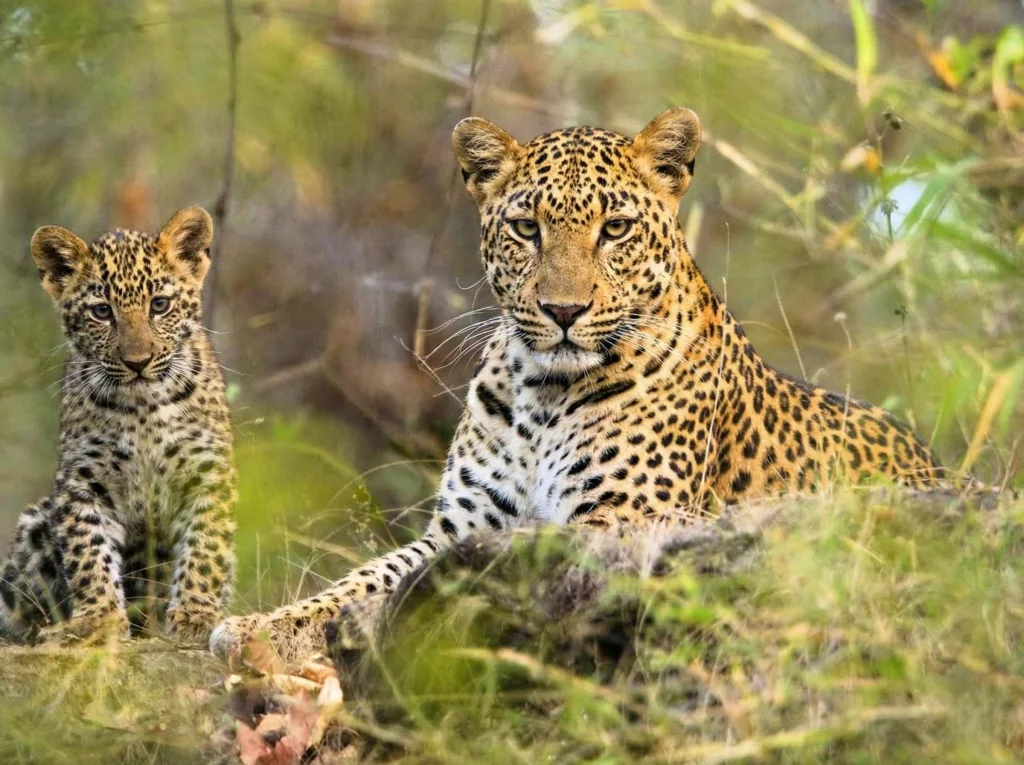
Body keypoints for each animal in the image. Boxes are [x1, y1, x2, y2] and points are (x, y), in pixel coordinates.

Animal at [0, 206, 237, 645]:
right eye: (101, 312)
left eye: (160, 305)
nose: (137, 362)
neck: (143, 410)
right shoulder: (82, 481)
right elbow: (88, 553)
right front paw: (99, 620)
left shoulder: (208, 473)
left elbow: (205, 549)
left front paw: (195, 615)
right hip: (34, 527)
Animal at [210, 107, 944, 663]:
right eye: (525, 227)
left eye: (614, 229)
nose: (564, 311)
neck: (542, 393)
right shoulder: (462, 525)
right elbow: (366, 577)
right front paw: (264, 627)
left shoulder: (622, 522)